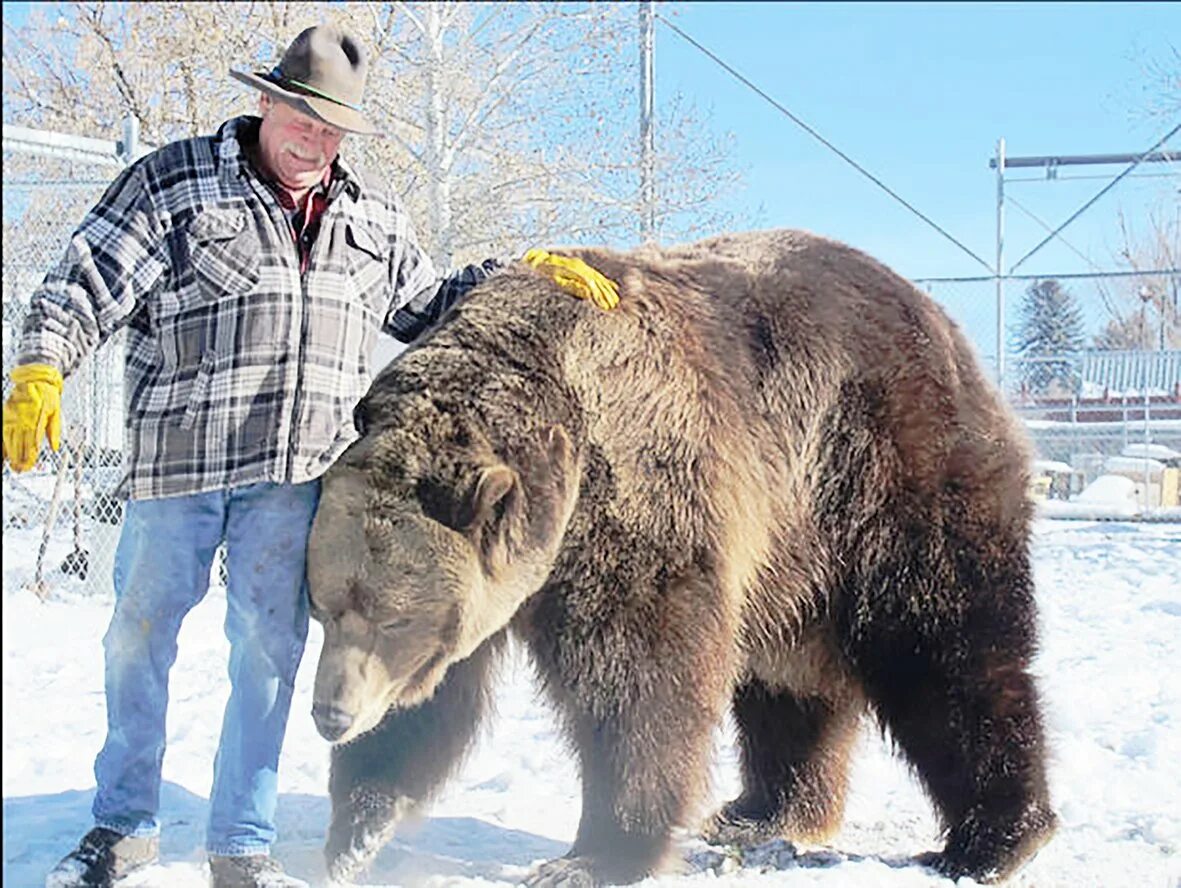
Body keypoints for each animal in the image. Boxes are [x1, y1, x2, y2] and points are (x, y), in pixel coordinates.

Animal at [304, 230, 1053, 888]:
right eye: (324, 609)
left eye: (396, 617)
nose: (330, 715)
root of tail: (938, 318)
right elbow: (433, 698)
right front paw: (356, 830)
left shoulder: (635, 503)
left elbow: (638, 683)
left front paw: (594, 855)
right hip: (789, 545)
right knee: (787, 681)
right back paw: (764, 811)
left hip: (883, 478)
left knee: (946, 646)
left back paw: (993, 839)